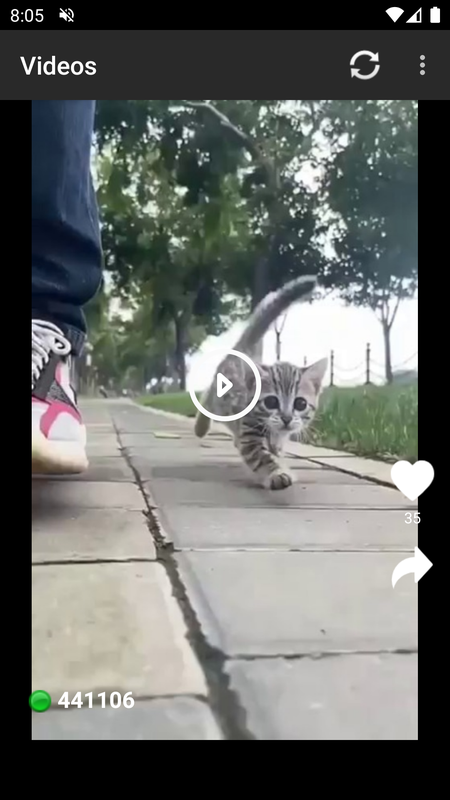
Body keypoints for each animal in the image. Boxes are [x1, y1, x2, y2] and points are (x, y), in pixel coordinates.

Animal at [194, 274, 328, 490]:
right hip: (219, 396)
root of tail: (245, 349)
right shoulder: (250, 434)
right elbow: (262, 457)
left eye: (300, 403)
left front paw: (277, 458)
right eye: (271, 402)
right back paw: (200, 427)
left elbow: (275, 450)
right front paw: (278, 473)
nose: (287, 418)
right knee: (208, 395)